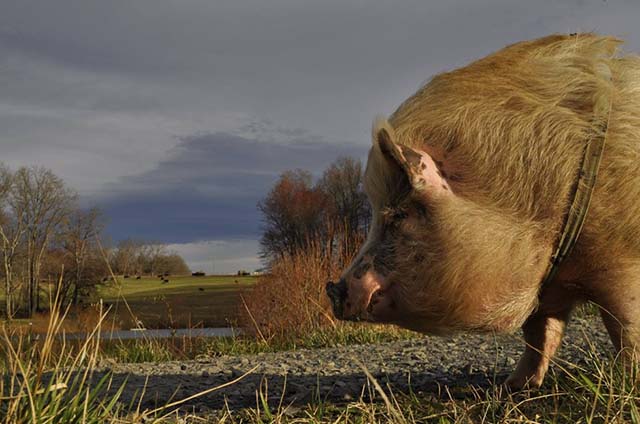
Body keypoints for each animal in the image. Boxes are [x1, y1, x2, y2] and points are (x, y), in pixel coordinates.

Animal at [326, 33, 640, 390]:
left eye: (398, 215)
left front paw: (627, 381)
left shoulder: (620, 264)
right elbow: (539, 335)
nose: (333, 288)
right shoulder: (547, 286)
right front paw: (514, 387)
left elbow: (625, 328)